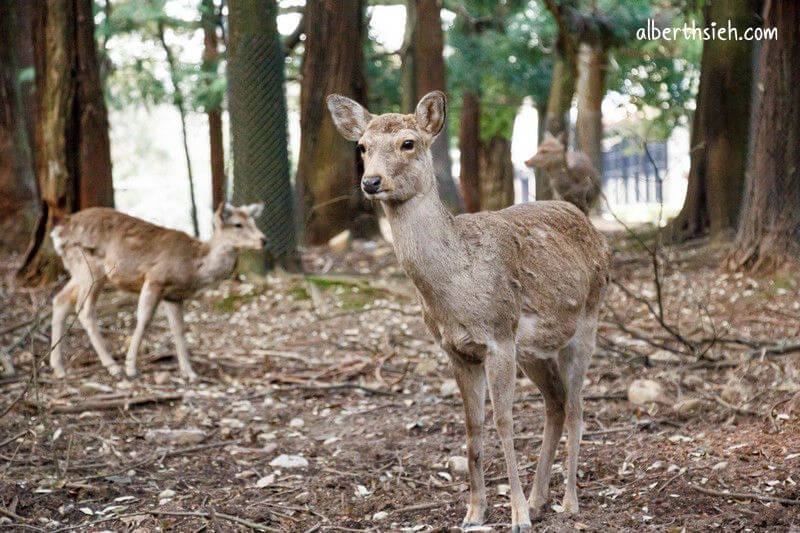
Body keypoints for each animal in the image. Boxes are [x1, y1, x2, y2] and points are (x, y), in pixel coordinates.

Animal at [49, 203, 267, 381]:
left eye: (254, 221)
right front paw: (131, 368)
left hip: (78, 271)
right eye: (238, 224)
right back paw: (113, 367)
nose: (264, 240)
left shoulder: (173, 296)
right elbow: (144, 320)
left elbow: (179, 329)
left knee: (60, 300)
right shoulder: (155, 279)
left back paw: (58, 368)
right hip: (90, 268)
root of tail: (58, 232)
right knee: (84, 309)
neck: (193, 265)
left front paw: (189, 373)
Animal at [328, 91, 611, 531]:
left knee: (579, 406)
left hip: (587, 320)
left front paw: (516, 516)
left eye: (408, 143)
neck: (456, 288)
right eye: (362, 146)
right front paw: (475, 512)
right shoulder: (457, 349)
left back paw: (567, 502)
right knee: (557, 401)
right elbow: (472, 425)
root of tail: (592, 228)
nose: (371, 182)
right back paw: (539, 499)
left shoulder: (498, 337)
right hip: (533, 350)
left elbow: (504, 421)